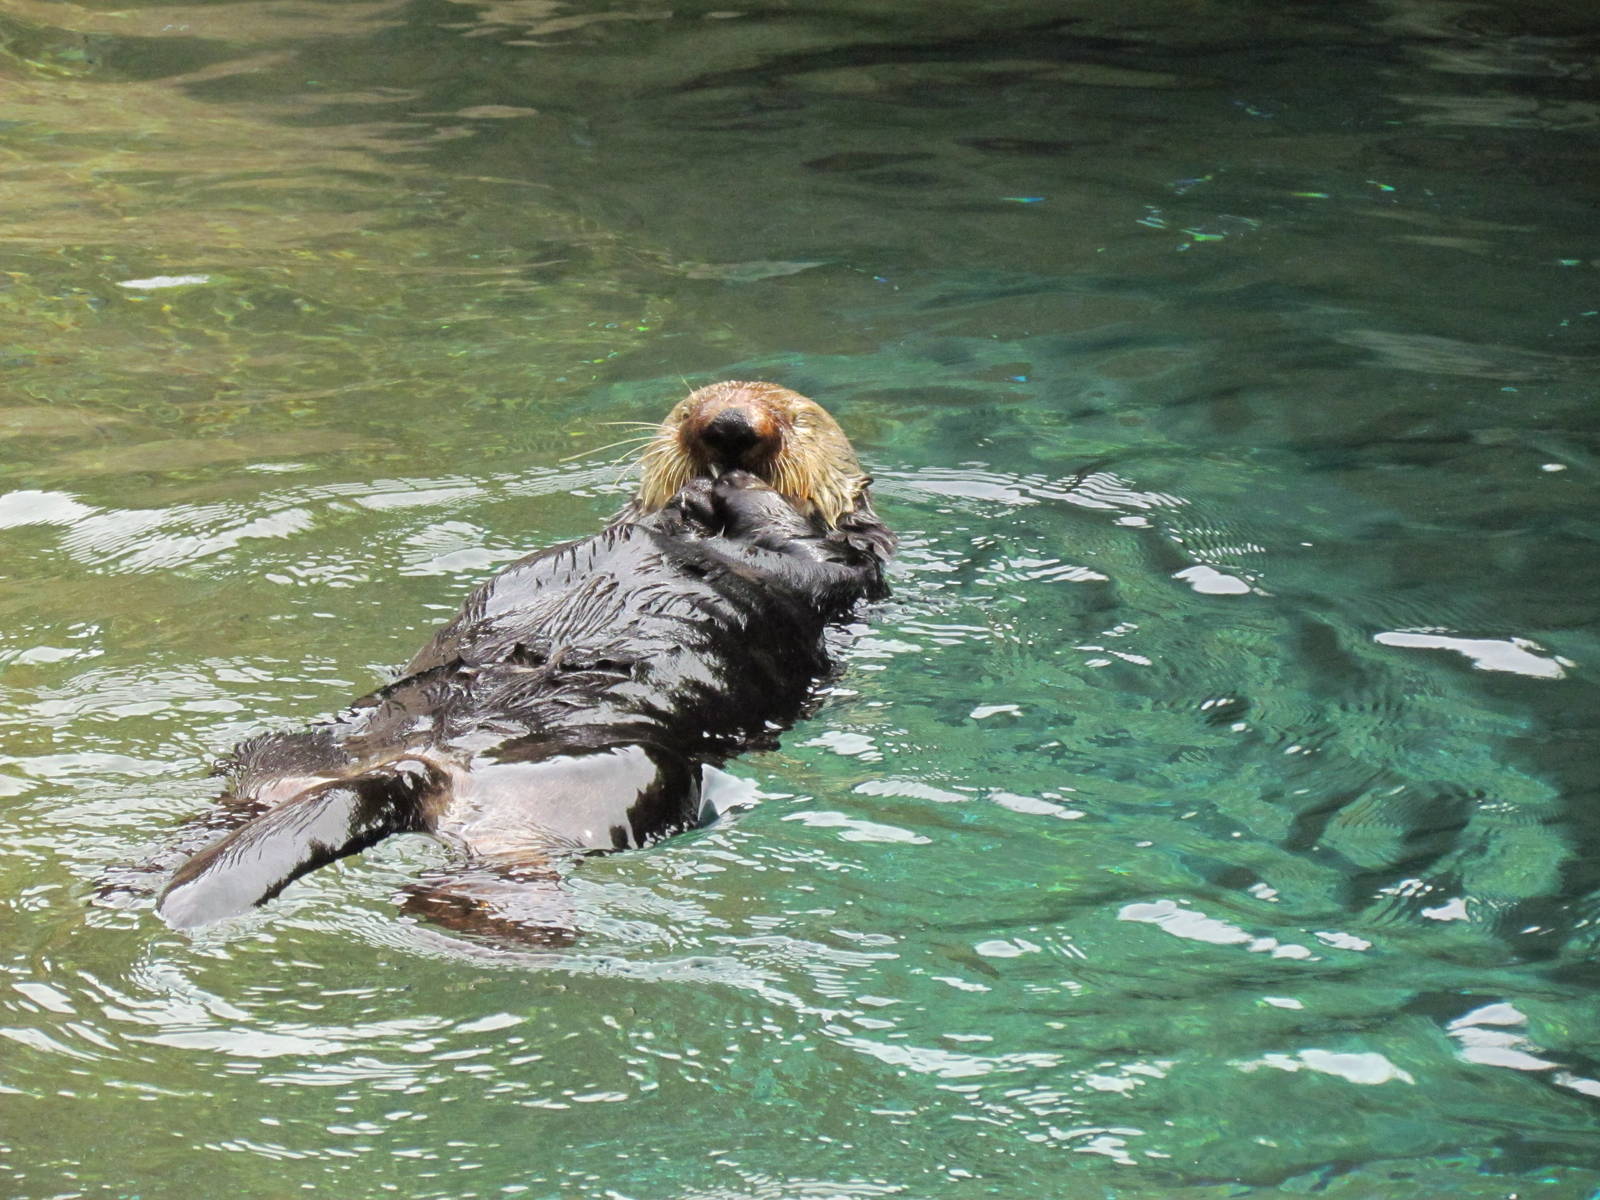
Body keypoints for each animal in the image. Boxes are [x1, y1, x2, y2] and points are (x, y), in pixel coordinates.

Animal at [154, 382, 894, 934]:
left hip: (617, 771)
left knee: (511, 862)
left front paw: (736, 487)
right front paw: (699, 490)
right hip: (293, 753)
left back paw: (485, 918)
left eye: (798, 417)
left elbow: (804, 544)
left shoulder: (842, 572)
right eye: (694, 403)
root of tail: (421, 763)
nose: (730, 430)